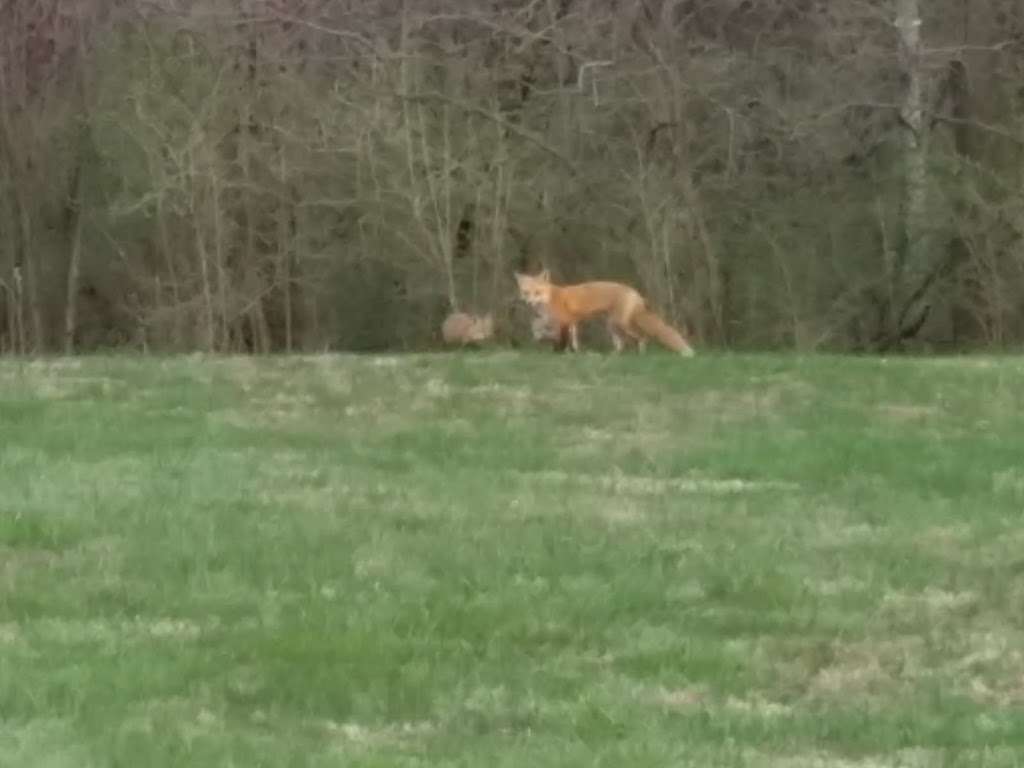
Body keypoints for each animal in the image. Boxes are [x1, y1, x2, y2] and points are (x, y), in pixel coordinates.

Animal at [512, 268, 696, 356]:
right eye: (526, 293)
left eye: (537, 292)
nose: (528, 303)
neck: (549, 298)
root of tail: (634, 292)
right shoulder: (571, 323)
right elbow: (571, 340)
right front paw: (575, 352)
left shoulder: (565, 322)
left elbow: (562, 341)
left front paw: (561, 353)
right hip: (612, 325)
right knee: (621, 344)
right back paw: (613, 356)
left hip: (621, 324)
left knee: (641, 337)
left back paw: (640, 355)